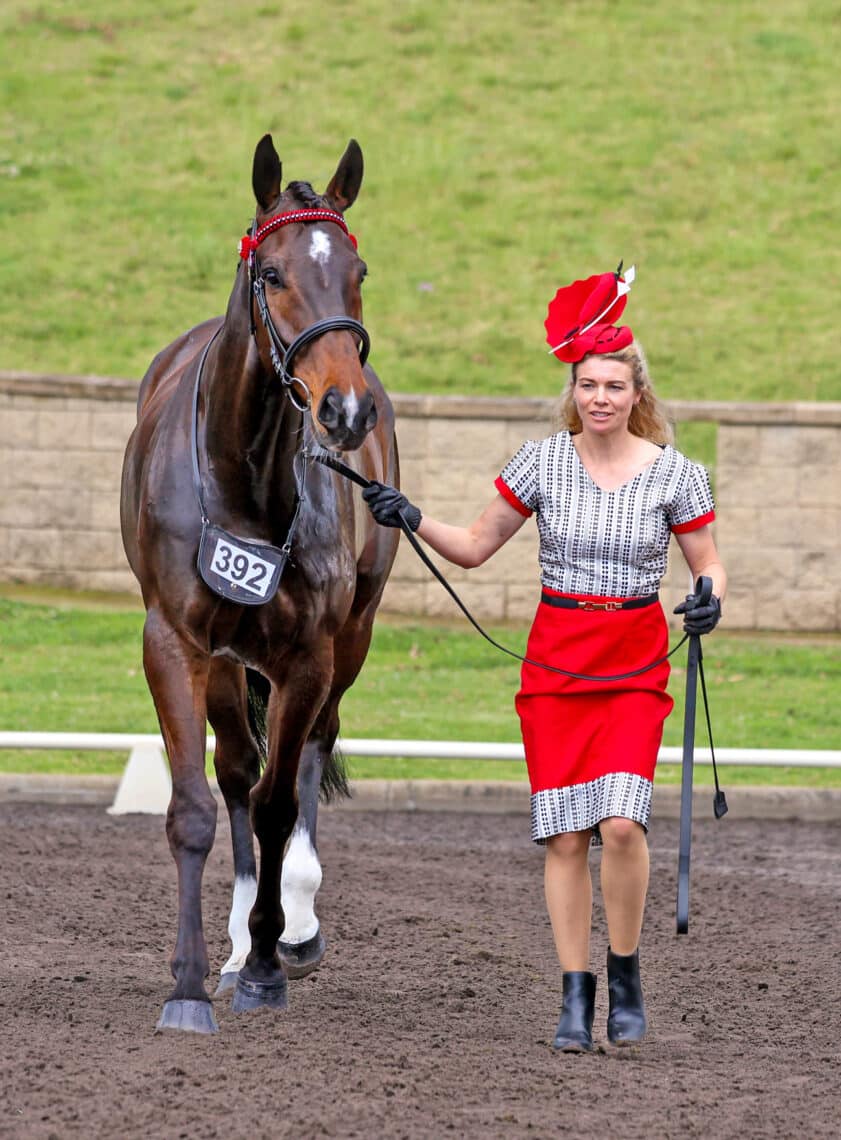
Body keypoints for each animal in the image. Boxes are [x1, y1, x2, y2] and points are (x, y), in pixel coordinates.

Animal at [118, 133, 398, 1035]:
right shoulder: (175, 642)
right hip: (224, 658)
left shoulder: (309, 652)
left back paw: (290, 927)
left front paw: (274, 960)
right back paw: (241, 938)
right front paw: (190, 981)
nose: (345, 411)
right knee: (238, 770)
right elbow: (198, 805)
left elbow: (281, 801)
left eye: (357, 269)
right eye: (271, 272)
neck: (244, 477)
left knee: (306, 754)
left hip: (349, 637)